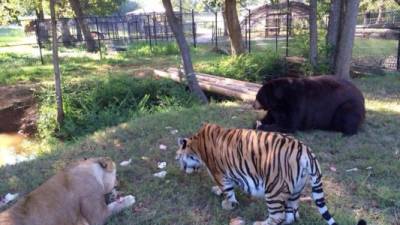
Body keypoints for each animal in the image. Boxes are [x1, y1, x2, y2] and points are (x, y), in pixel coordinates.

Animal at [175, 123, 366, 225]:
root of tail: (306, 151)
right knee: (290, 216)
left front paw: (228, 204)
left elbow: (228, 191)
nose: (180, 167)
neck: (197, 145)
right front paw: (217, 192)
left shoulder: (219, 172)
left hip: (273, 189)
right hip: (296, 190)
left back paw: (259, 223)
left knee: (277, 216)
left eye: (178, 158)